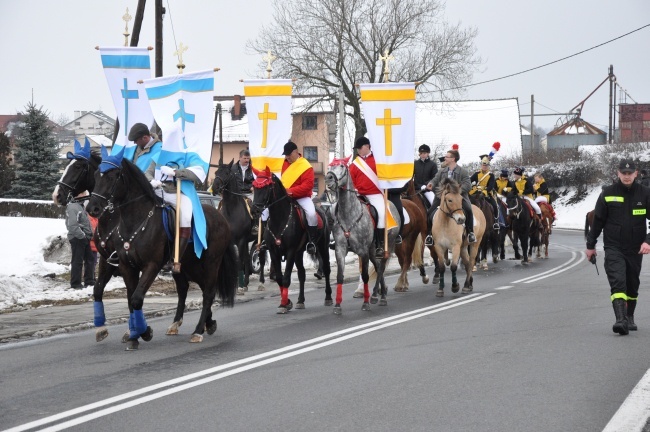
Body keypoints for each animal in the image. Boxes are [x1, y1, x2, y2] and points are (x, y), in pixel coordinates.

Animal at [87, 157, 237, 350]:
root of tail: (220, 217)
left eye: (113, 177)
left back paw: (198, 331)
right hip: (187, 266)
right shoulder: (125, 265)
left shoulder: (151, 265)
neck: (135, 221)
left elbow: (136, 298)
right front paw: (134, 335)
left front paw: (144, 332)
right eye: (95, 175)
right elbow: (129, 299)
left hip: (211, 263)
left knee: (209, 292)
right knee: (190, 289)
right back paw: (200, 324)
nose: (92, 208)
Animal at [248, 167, 330, 312]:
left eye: (267, 187)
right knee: (302, 274)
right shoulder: (274, 252)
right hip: (299, 253)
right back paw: (300, 300)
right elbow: (280, 278)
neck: (279, 219)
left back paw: (328, 298)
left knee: (326, 269)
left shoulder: (290, 251)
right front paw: (285, 302)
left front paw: (284, 305)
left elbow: (286, 278)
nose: (255, 210)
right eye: (254, 187)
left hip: (322, 247)